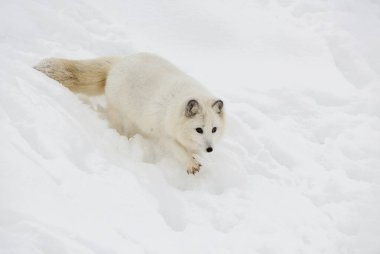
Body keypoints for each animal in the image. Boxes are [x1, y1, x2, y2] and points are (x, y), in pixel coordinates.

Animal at [34, 52, 224, 174]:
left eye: (214, 129)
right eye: (199, 129)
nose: (210, 149)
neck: (173, 109)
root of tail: (118, 62)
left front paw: (195, 157)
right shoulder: (164, 135)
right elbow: (179, 151)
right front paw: (191, 164)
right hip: (122, 117)